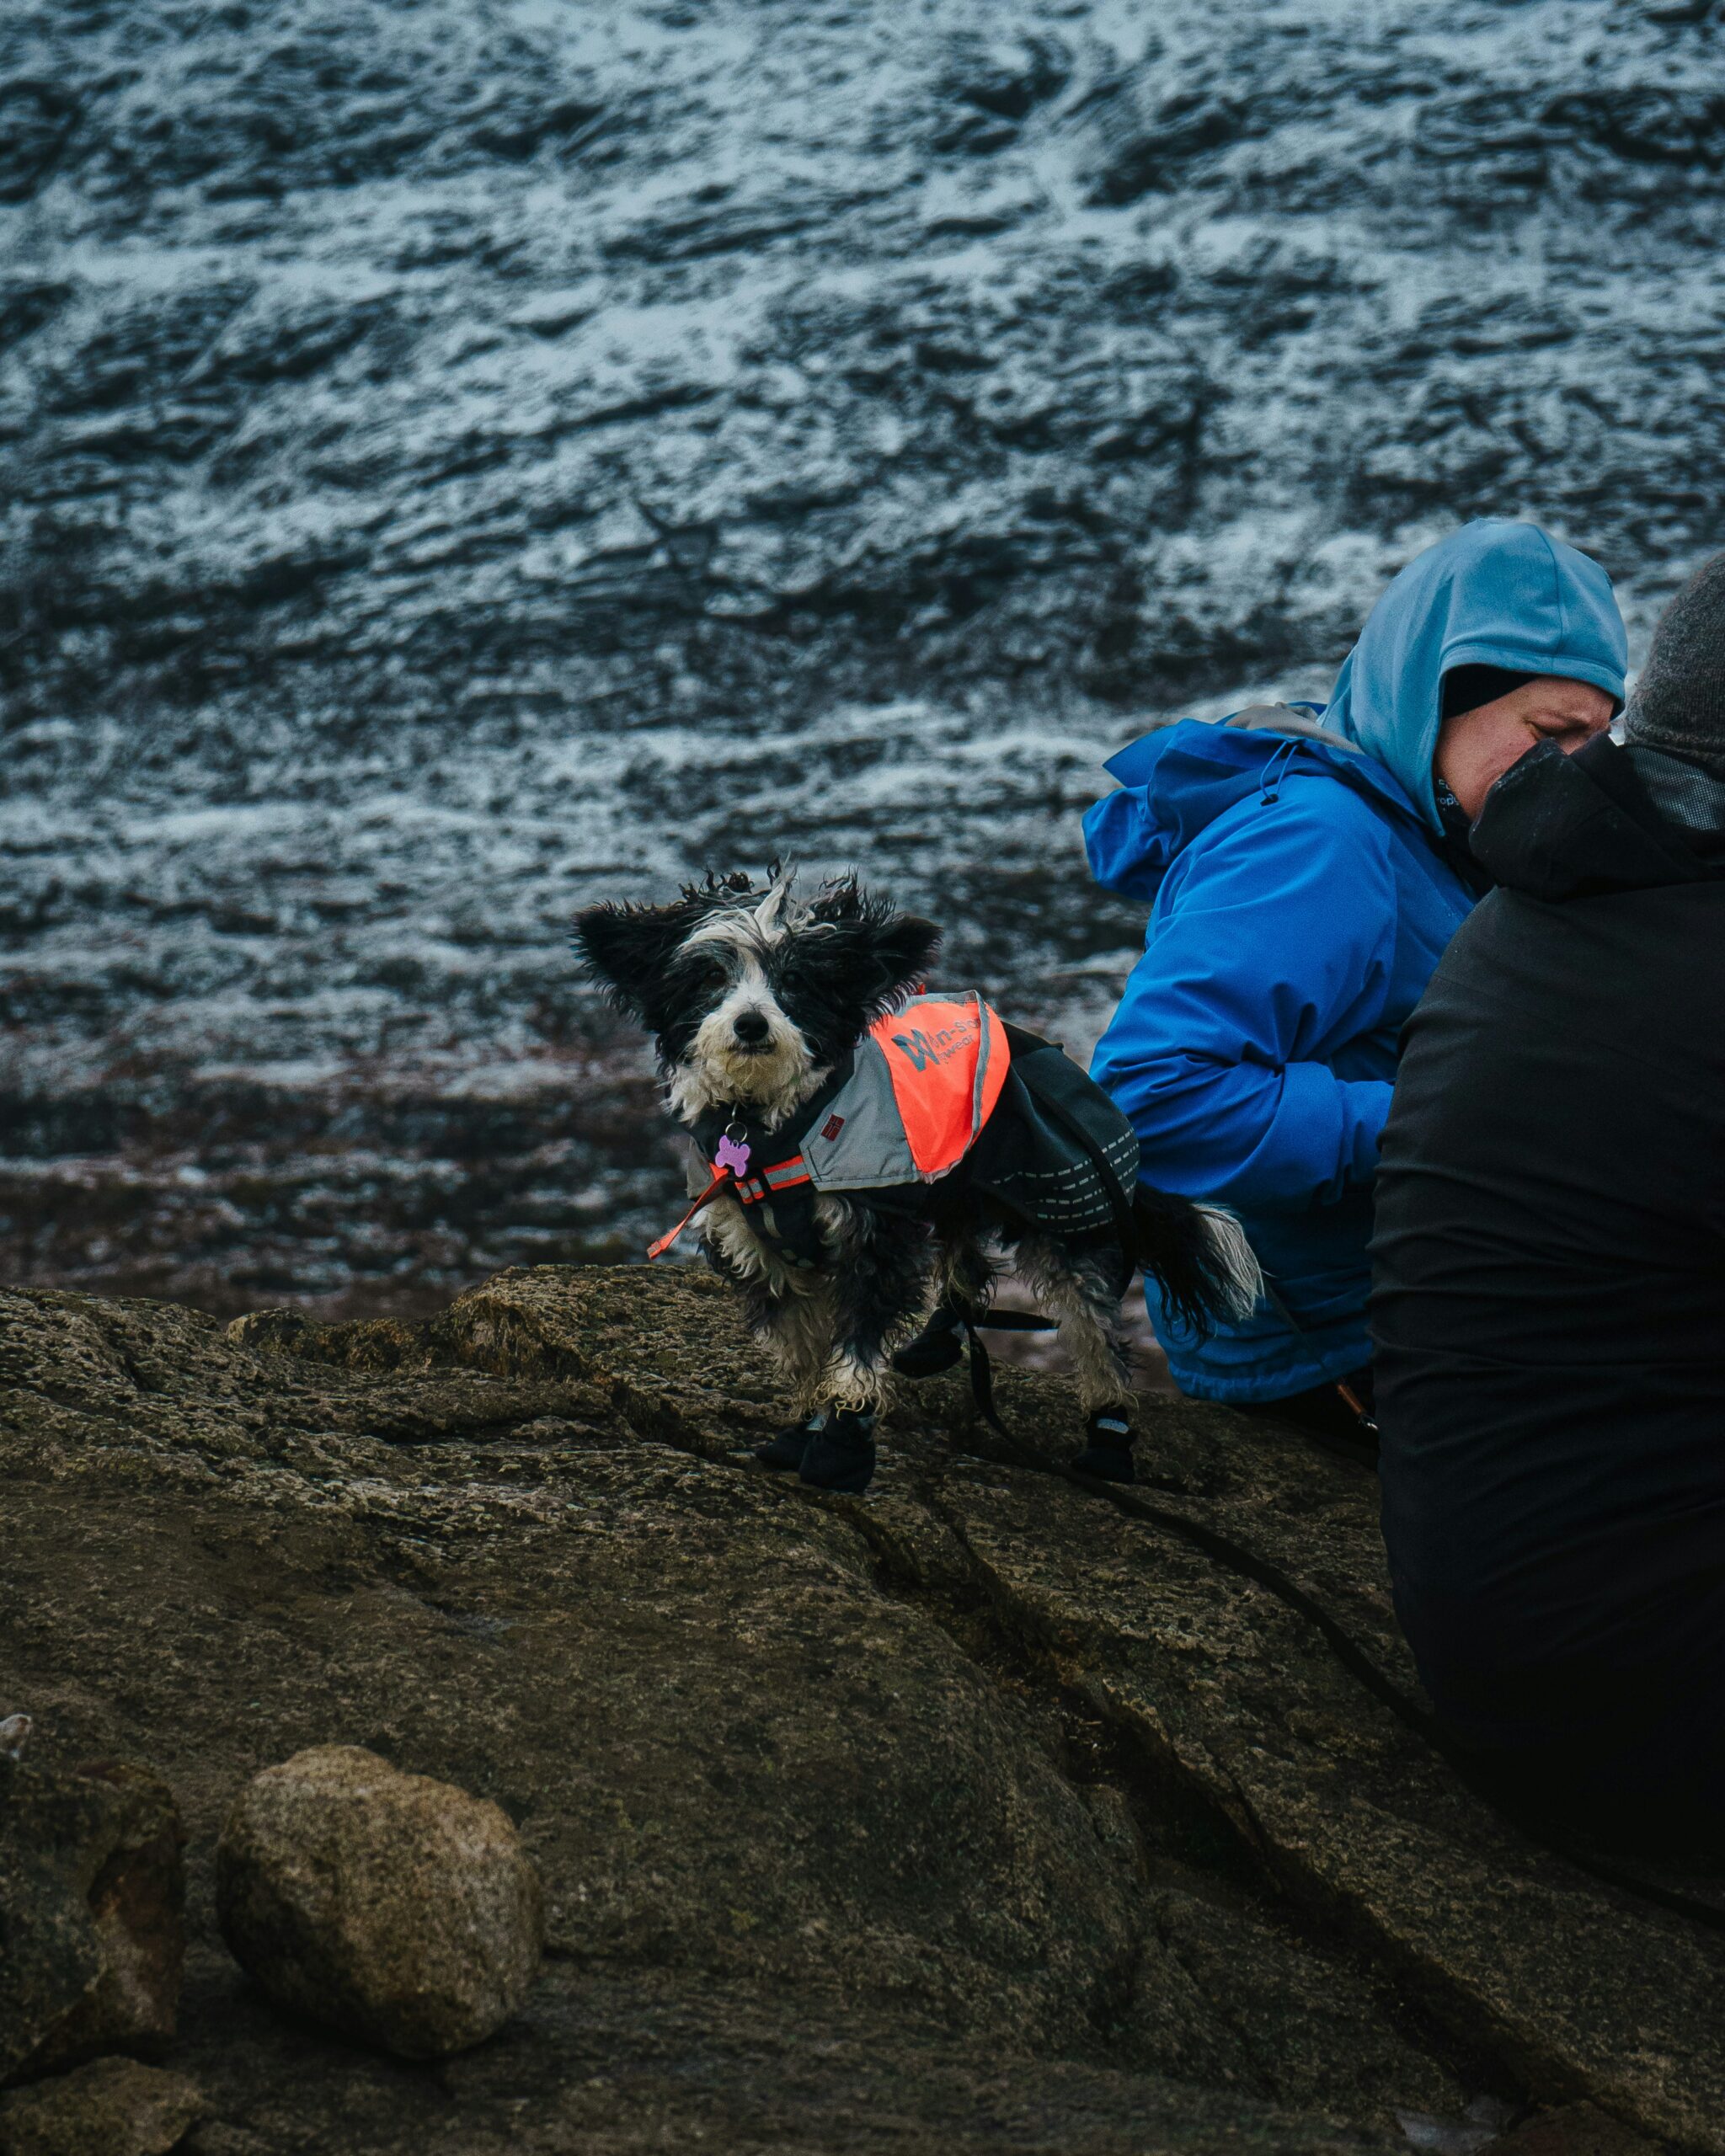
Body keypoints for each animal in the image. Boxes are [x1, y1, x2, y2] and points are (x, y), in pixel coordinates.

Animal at [573, 867, 1259, 1492]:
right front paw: (803, 1426)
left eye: (795, 980)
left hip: (1059, 1203)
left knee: (1096, 1335)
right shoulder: (759, 1249)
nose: (751, 1025)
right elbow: (803, 1350)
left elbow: (856, 1347)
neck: (772, 1128)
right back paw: (939, 1340)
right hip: (956, 1191)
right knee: (967, 1263)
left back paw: (1109, 1437)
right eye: (711, 977)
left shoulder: (873, 1233)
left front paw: (841, 1442)